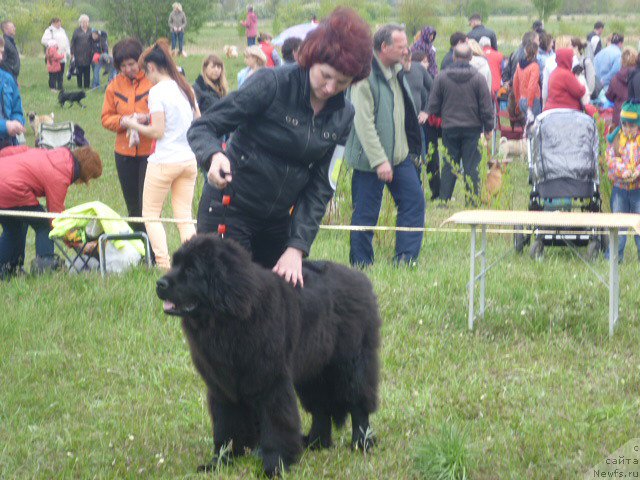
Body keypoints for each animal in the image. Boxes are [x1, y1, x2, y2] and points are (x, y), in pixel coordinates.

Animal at [156, 233, 380, 476]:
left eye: (191, 270)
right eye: (175, 264)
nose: (160, 283)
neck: (229, 320)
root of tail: (360, 278)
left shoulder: (272, 383)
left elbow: (276, 425)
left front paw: (275, 465)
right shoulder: (221, 386)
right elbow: (224, 427)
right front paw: (218, 462)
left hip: (350, 364)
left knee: (358, 404)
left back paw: (361, 443)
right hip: (313, 369)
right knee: (321, 408)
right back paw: (315, 443)